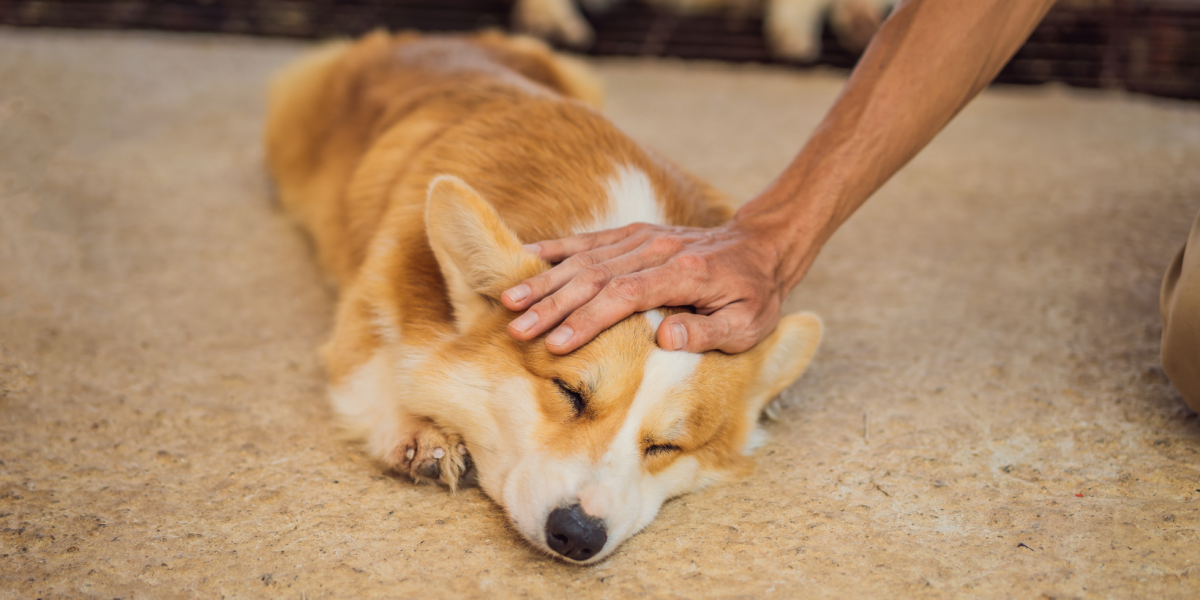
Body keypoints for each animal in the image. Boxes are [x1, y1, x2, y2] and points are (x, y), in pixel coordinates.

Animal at [266, 29, 820, 561]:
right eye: (570, 393)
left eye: (666, 446)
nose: (576, 535)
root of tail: (428, 38)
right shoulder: (364, 313)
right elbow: (378, 371)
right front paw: (423, 434)